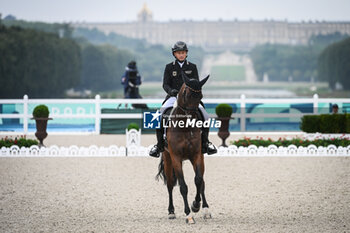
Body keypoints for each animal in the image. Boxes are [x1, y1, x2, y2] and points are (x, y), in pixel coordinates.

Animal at [157, 73, 212, 224]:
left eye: (201, 96)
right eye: (186, 94)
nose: (194, 119)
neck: (185, 128)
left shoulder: (197, 155)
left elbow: (198, 181)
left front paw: (196, 206)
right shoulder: (176, 158)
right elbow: (183, 186)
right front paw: (189, 214)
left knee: (202, 181)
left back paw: (206, 210)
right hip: (168, 158)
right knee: (170, 184)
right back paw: (171, 212)